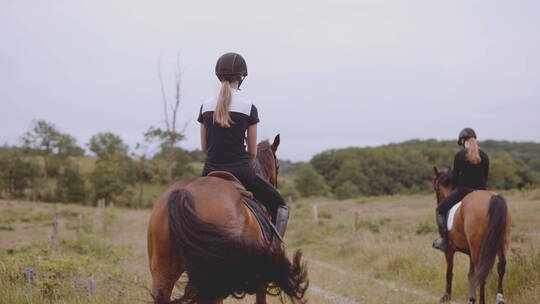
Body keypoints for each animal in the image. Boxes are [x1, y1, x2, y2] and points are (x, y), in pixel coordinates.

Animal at [432, 167, 512, 302]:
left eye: (436, 188)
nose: (438, 202)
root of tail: (492, 198)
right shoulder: (470, 252)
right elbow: (470, 274)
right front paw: (471, 298)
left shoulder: (450, 249)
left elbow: (449, 272)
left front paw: (446, 296)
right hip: (502, 242)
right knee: (501, 267)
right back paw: (499, 298)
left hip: (478, 246)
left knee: (482, 270)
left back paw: (482, 301)